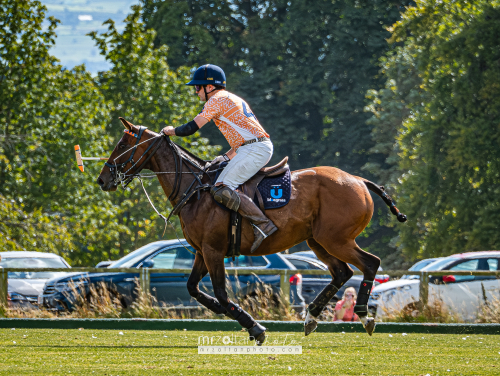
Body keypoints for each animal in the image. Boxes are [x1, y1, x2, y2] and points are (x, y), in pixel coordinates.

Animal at [96, 119, 406, 346]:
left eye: (122, 144)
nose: (103, 179)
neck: (195, 190)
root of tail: (359, 180)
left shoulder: (213, 250)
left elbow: (221, 293)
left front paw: (255, 327)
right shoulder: (201, 251)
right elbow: (194, 288)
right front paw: (230, 315)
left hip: (336, 238)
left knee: (370, 263)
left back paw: (364, 315)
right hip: (317, 240)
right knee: (342, 272)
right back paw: (311, 318)